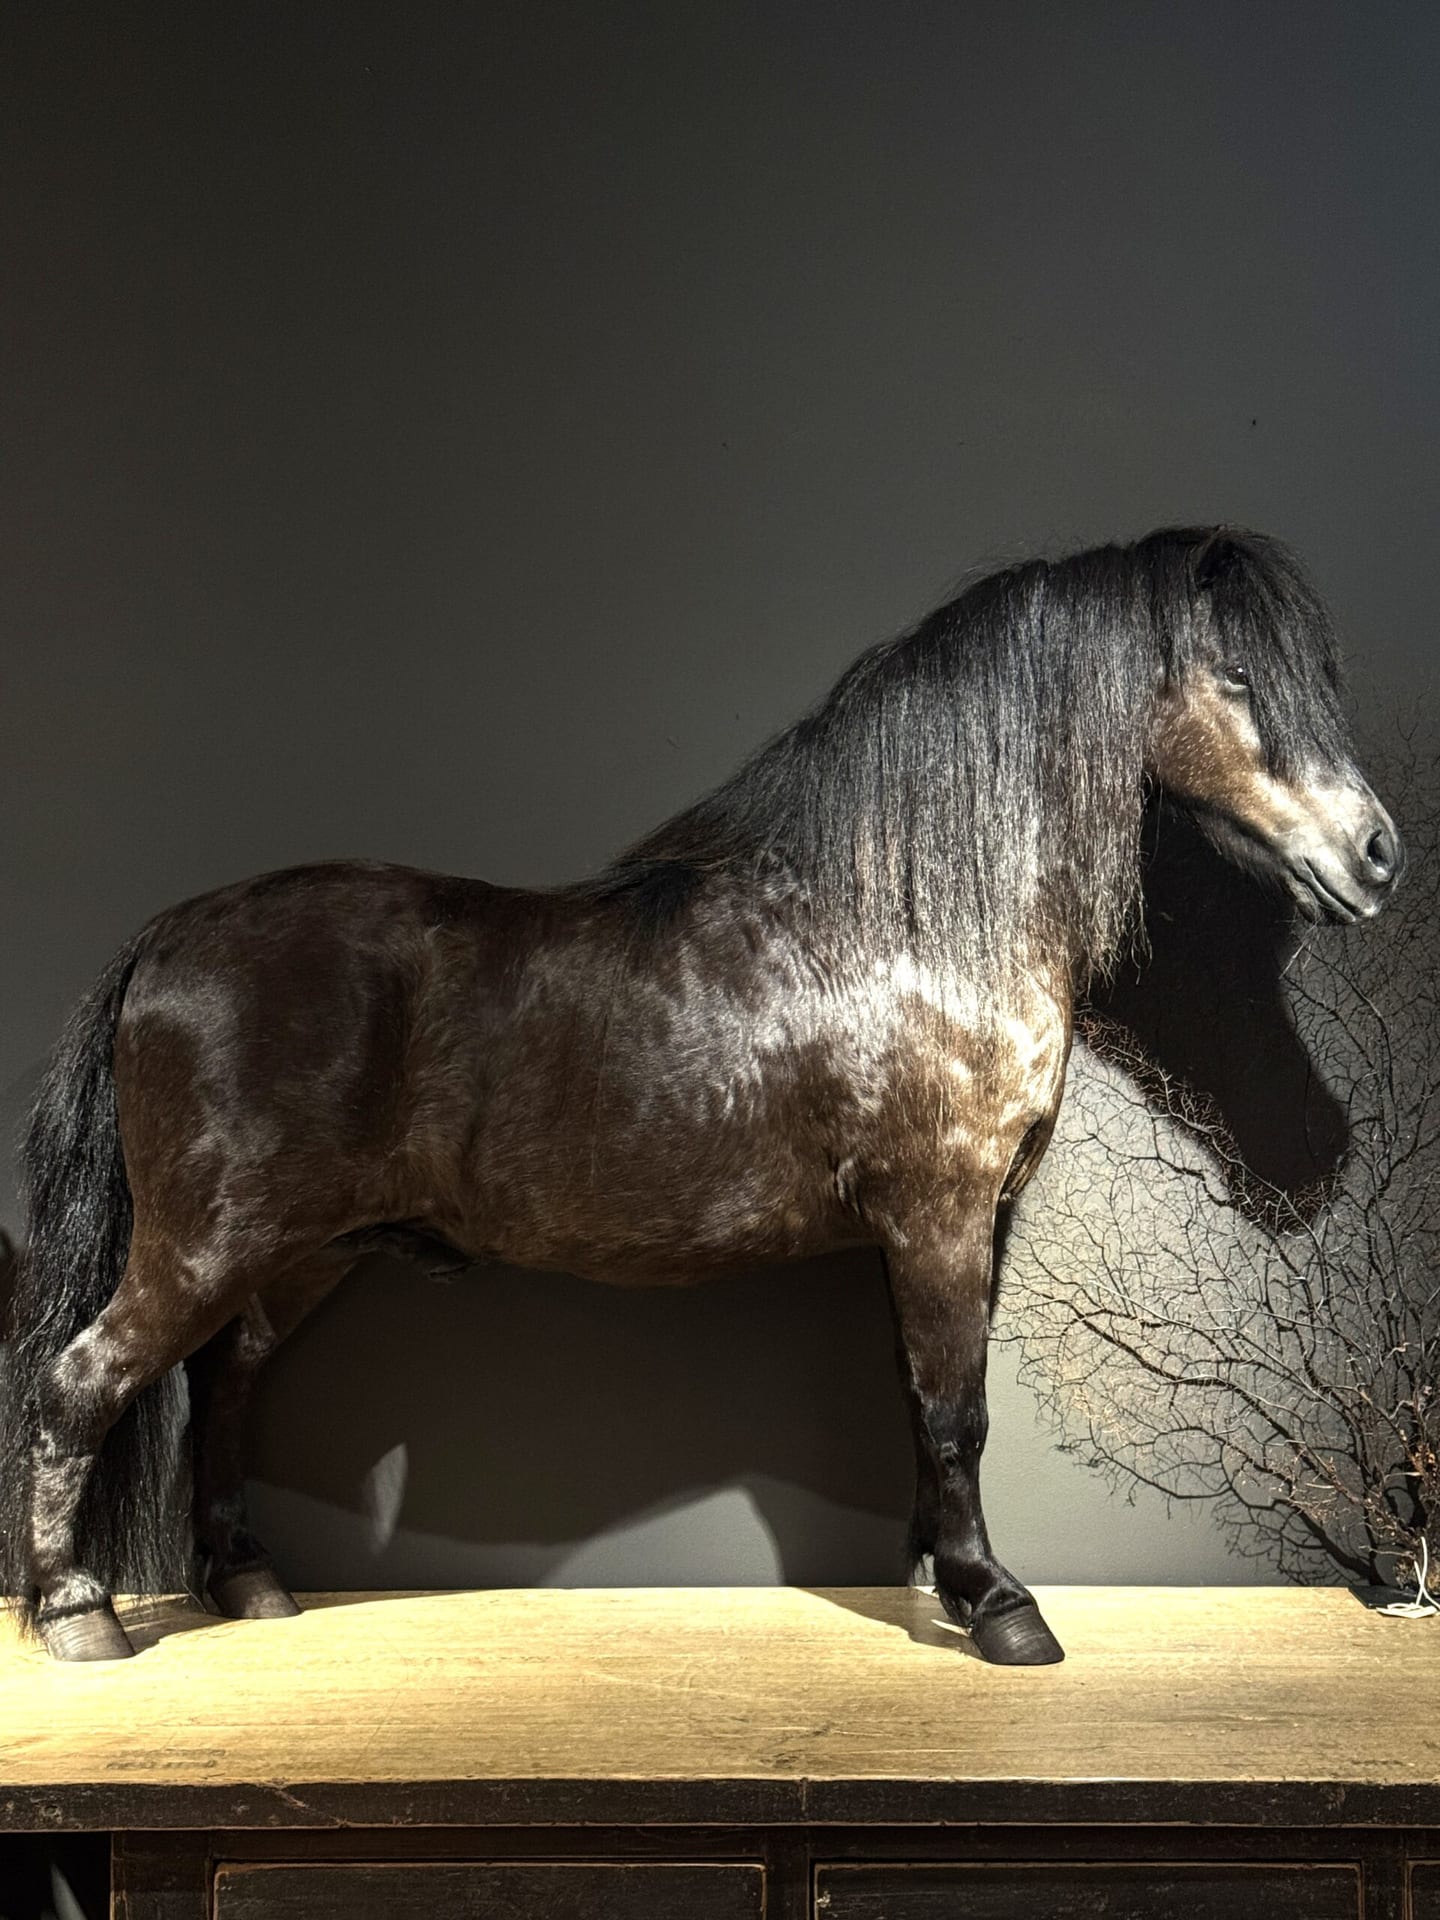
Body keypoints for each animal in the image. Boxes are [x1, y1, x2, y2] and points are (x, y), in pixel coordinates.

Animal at [0, 526, 1403, 1665]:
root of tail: (167, 939)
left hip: (300, 1254)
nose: (1376, 855)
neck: (909, 919)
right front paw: (999, 1605)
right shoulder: (940, 1216)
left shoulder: (956, 1230)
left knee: (222, 1382)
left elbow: (922, 1401)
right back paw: (79, 1614)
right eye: (1237, 676)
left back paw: (247, 1582)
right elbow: (958, 1409)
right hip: (205, 1243)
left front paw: (938, 1577)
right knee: (80, 1383)